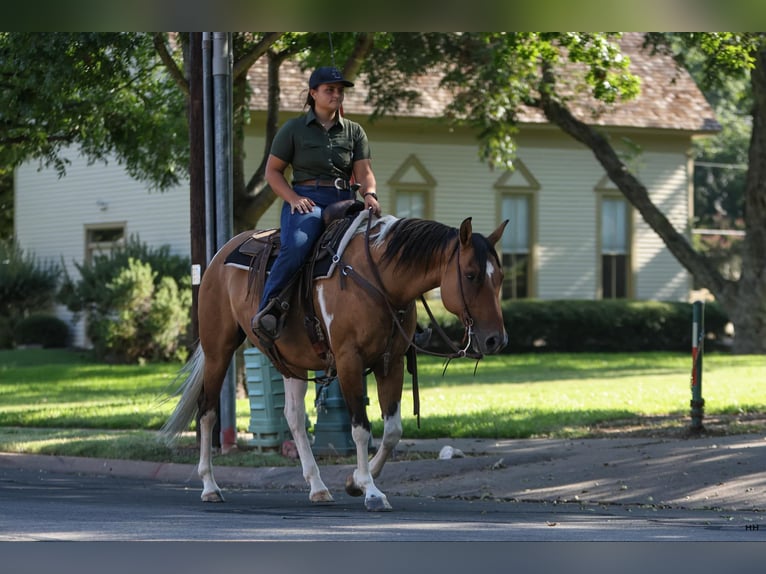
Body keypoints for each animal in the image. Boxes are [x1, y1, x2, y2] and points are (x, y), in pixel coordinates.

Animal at [162, 210, 510, 512]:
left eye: (501, 278)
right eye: (471, 275)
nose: (496, 340)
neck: (379, 280)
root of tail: (219, 255)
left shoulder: (391, 363)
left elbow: (392, 431)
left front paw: (354, 482)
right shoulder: (348, 361)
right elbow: (361, 428)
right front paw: (371, 491)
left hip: (291, 360)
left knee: (293, 416)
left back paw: (317, 487)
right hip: (218, 350)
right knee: (207, 412)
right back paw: (210, 486)